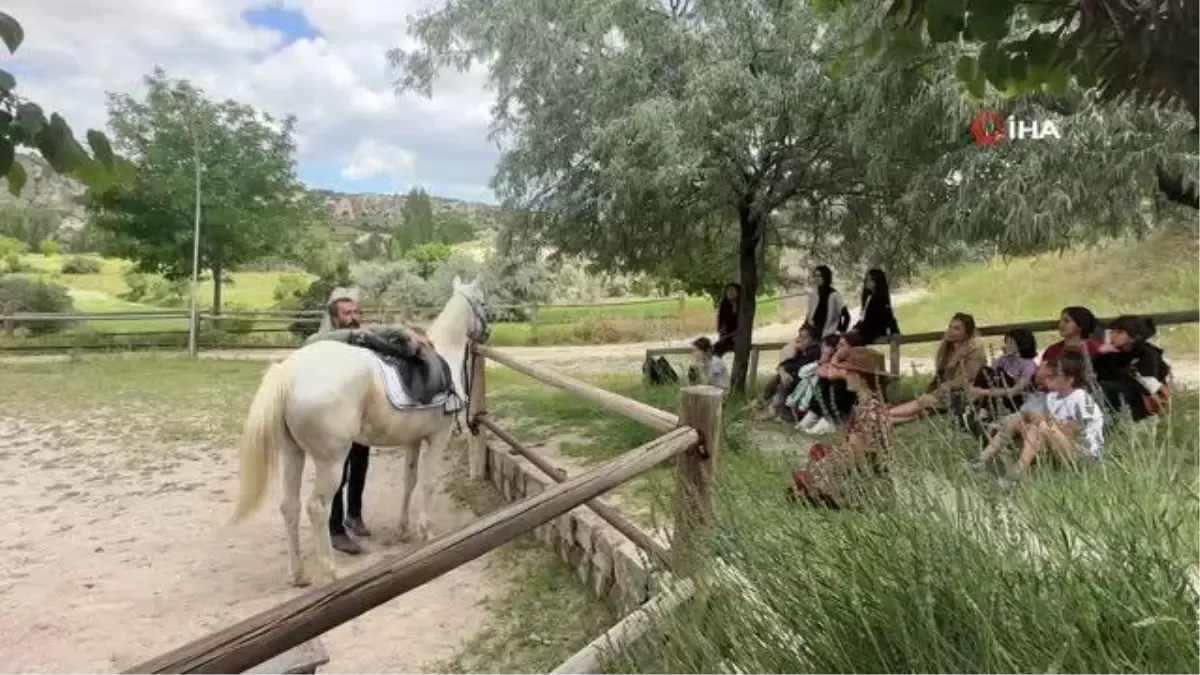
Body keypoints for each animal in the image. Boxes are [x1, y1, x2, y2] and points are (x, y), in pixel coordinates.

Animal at [229, 273, 487, 583]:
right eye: (484, 301)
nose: (487, 332)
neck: (446, 353)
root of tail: (288, 373)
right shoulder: (438, 436)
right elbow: (428, 482)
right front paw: (426, 532)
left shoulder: (412, 440)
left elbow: (409, 481)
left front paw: (403, 529)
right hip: (331, 461)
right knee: (317, 507)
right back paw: (332, 570)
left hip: (292, 453)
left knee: (289, 506)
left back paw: (299, 574)